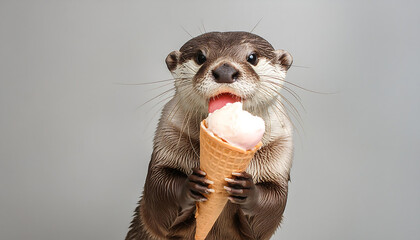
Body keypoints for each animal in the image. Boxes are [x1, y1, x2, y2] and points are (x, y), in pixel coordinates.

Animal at [126, 31, 294, 240]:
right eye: (200, 57)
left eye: (252, 57)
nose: (225, 71)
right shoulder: (168, 134)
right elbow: (157, 192)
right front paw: (192, 185)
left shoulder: (281, 149)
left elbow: (273, 203)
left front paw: (247, 189)